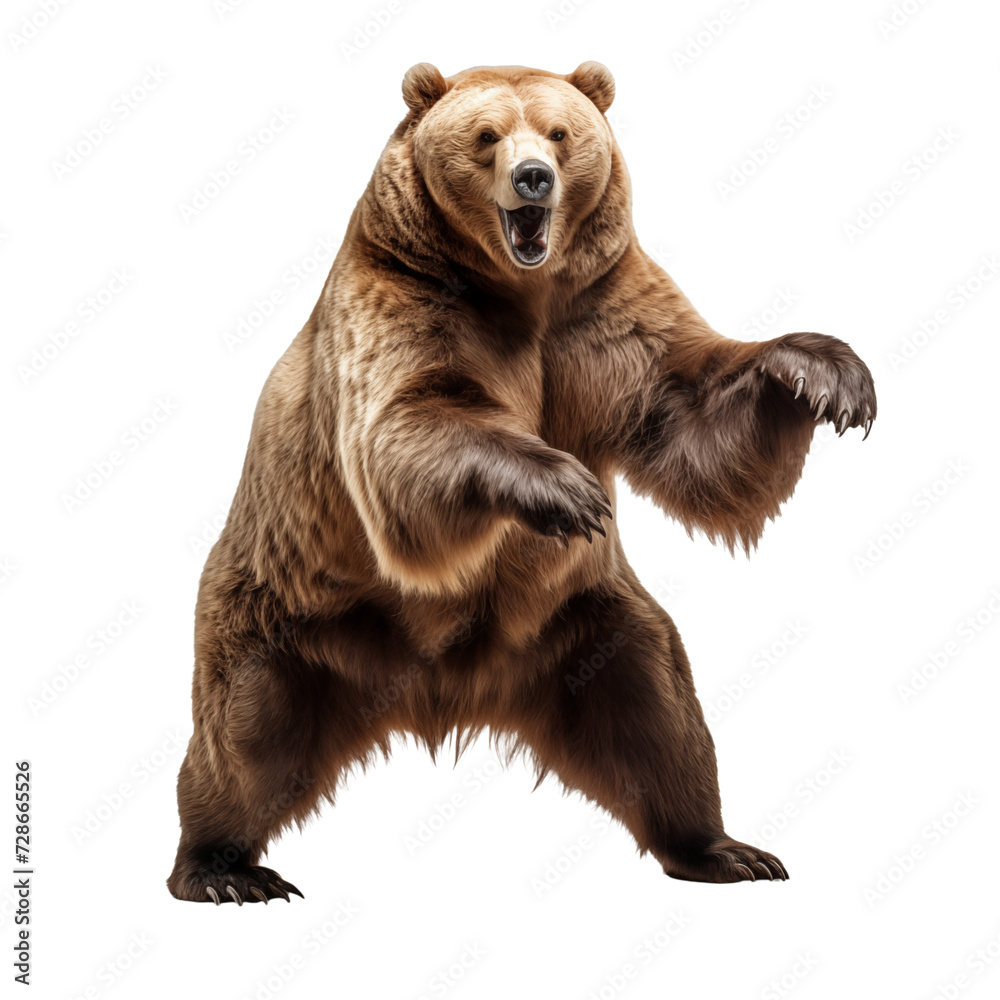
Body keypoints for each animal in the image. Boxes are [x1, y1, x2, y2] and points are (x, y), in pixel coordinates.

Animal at [167, 61, 876, 903]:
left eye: (560, 133)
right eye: (487, 135)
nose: (534, 178)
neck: (517, 293)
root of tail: (439, 693)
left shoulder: (602, 314)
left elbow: (688, 412)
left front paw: (823, 371)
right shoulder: (401, 300)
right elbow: (405, 425)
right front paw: (567, 489)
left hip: (584, 625)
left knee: (660, 716)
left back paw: (722, 849)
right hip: (292, 614)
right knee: (245, 733)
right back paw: (222, 868)